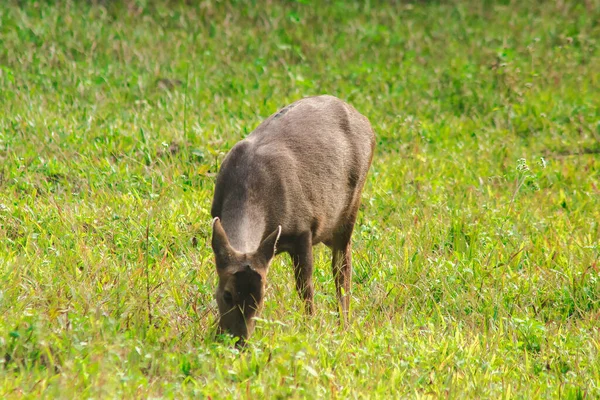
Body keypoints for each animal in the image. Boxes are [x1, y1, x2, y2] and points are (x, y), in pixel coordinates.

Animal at [211, 95, 376, 346]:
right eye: (227, 294)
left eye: (261, 297)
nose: (240, 341)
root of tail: (366, 122)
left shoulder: (303, 229)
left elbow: (305, 287)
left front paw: (310, 328)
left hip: (351, 206)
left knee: (342, 268)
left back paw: (344, 325)